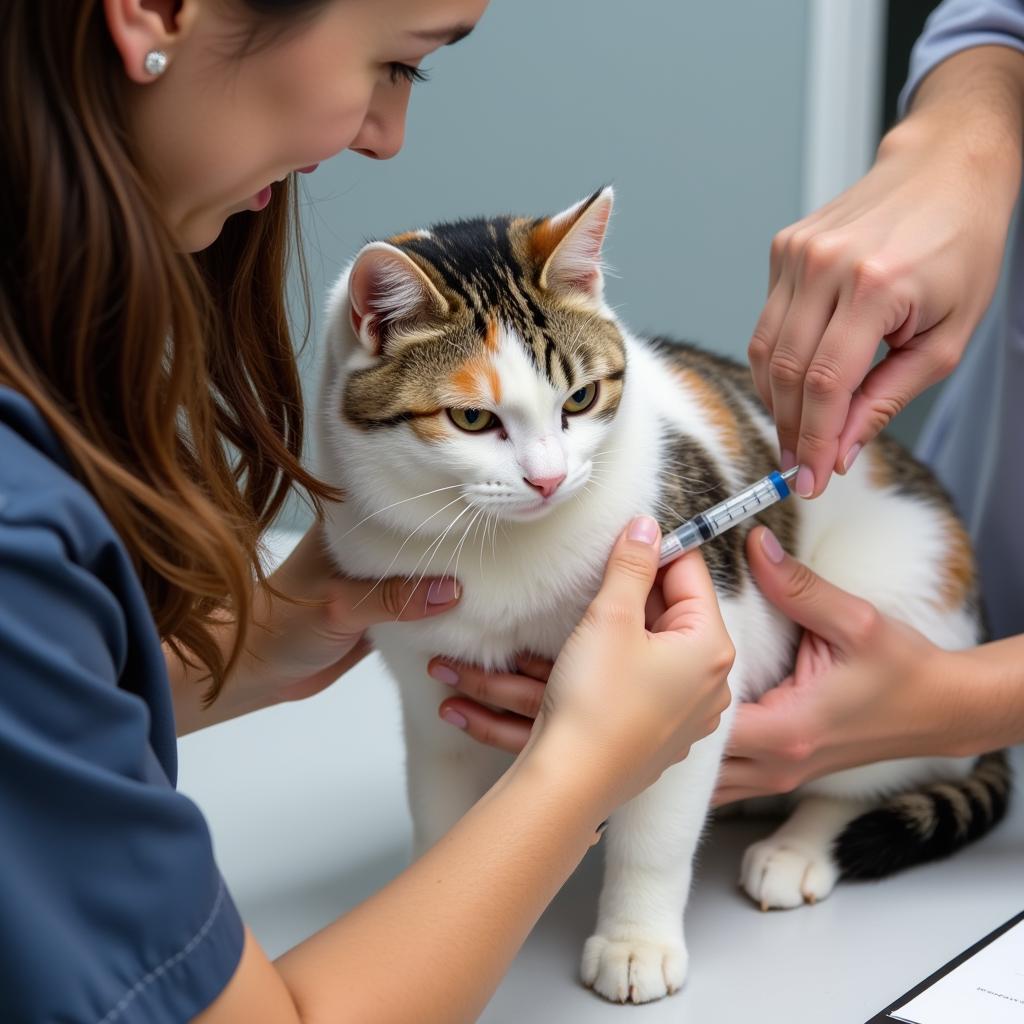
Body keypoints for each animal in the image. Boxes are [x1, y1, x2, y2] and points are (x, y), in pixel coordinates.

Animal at [315, 188, 1011, 1003]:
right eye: (472, 418)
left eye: (581, 398)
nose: (549, 479)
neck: (500, 551)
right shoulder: (431, 695)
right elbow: (441, 810)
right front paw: (443, 914)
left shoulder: (697, 671)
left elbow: (657, 831)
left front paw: (635, 941)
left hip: (903, 592)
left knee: (880, 766)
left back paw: (802, 843)